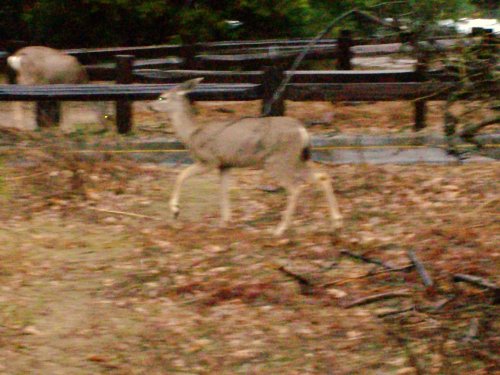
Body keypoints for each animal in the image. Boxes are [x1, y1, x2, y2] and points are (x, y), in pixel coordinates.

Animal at [149, 79, 344, 236]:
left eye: (162, 97)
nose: (149, 106)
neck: (191, 134)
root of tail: (302, 130)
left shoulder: (209, 160)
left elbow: (181, 175)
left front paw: (175, 210)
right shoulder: (225, 165)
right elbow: (223, 191)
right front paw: (224, 222)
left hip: (278, 159)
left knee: (295, 187)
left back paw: (280, 229)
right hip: (297, 158)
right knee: (322, 176)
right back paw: (336, 223)